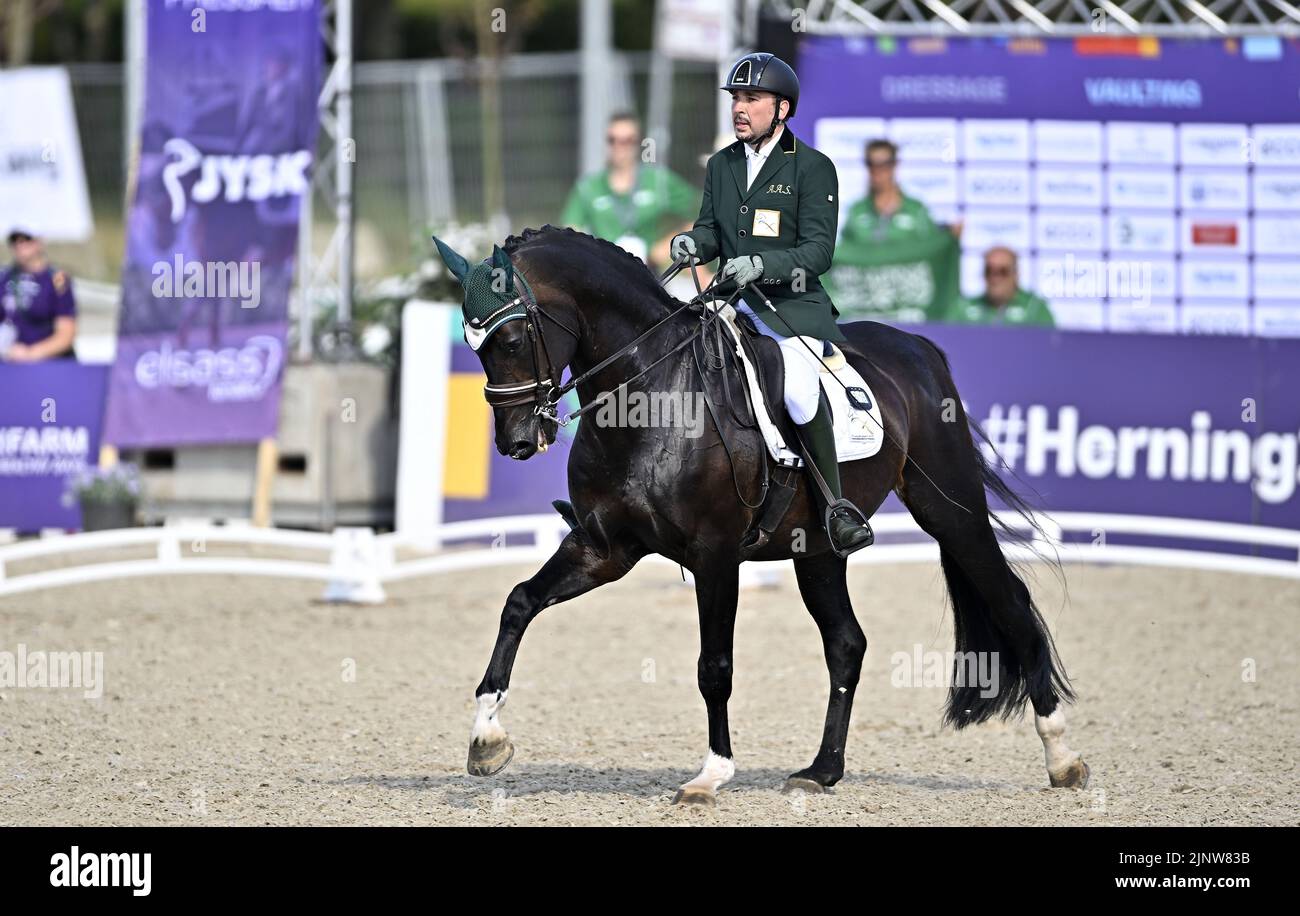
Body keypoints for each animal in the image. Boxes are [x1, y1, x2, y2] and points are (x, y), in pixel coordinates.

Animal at [434, 224, 1086, 805]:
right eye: (473, 344)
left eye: (511, 339)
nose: (517, 441)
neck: (653, 394)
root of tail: (919, 349)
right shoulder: (603, 548)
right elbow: (519, 601)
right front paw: (486, 739)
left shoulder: (715, 555)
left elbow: (714, 666)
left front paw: (711, 776)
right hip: (818, 549)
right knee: (847, 643)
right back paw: (822, 771)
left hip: (951, 514)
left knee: (1011, 603)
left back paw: (1063, 758)